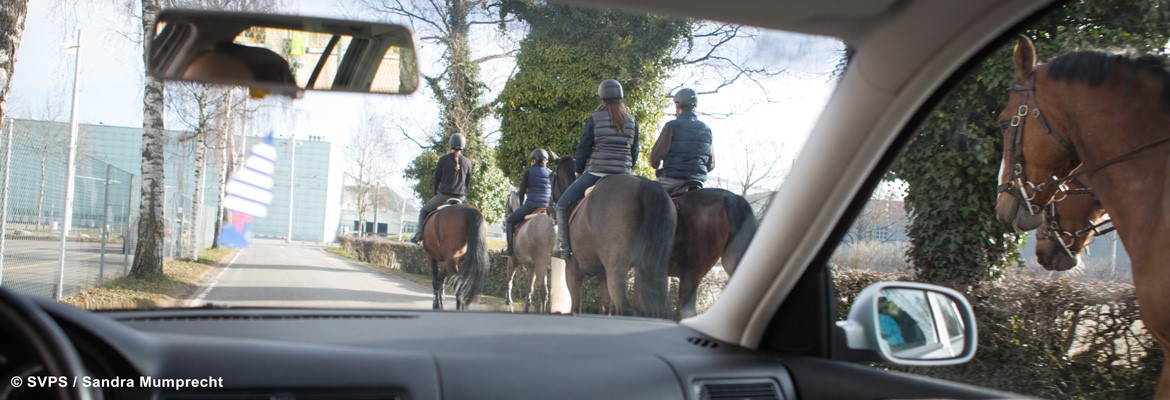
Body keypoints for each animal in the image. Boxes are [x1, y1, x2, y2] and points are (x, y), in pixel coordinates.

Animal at [549, 156, 673, 318]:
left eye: (550, 177)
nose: (548, 209)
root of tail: (644, 184)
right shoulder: (603, 274)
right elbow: (605, 307)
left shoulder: (572, 271)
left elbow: (576, 306)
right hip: (653, 269)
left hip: (616, 269)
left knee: (624, 307)